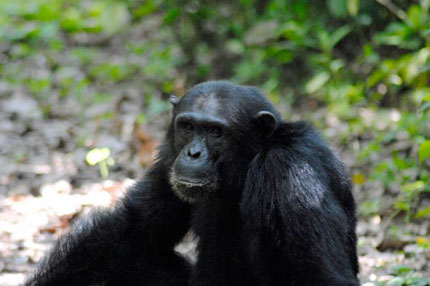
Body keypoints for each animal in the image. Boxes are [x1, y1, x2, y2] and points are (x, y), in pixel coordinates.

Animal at [25, 81, 358, 286]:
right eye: (187, 126)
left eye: (215, 131)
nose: (193, 153)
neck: (244, 168)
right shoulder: (168, 156)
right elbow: (133, 228)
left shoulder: (291, 170)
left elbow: (319, 274)